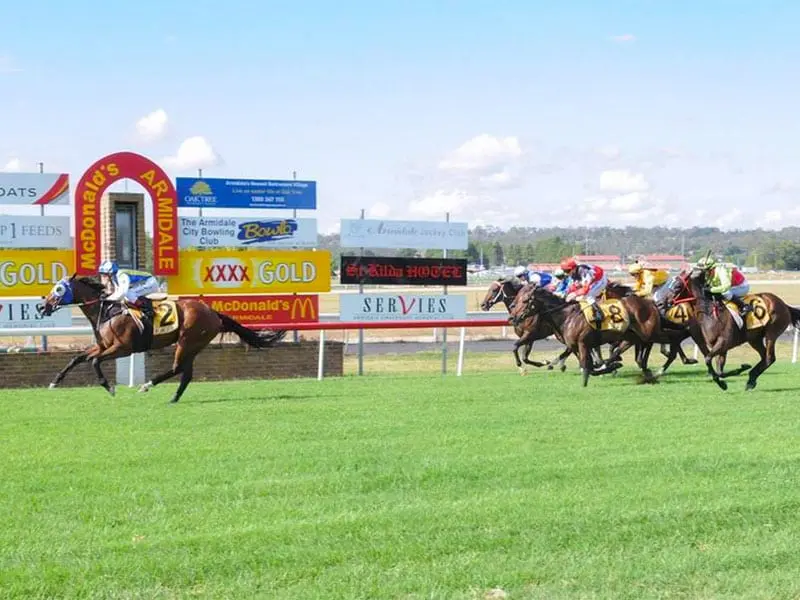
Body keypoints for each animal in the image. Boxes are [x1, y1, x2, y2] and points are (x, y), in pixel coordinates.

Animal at [38, 276, 288, 404]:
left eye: (58, 289)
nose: (42, 306)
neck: (108, 310)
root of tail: (213, 313)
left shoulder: (123, 348)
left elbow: (94, 361)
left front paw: (110, 388)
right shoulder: (103, 346)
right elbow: (77, 358)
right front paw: (54, 382)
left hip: (187, 341)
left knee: (177, 368)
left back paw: (147, 386)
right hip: (193, 346)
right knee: (186, 373)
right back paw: (174, 397)